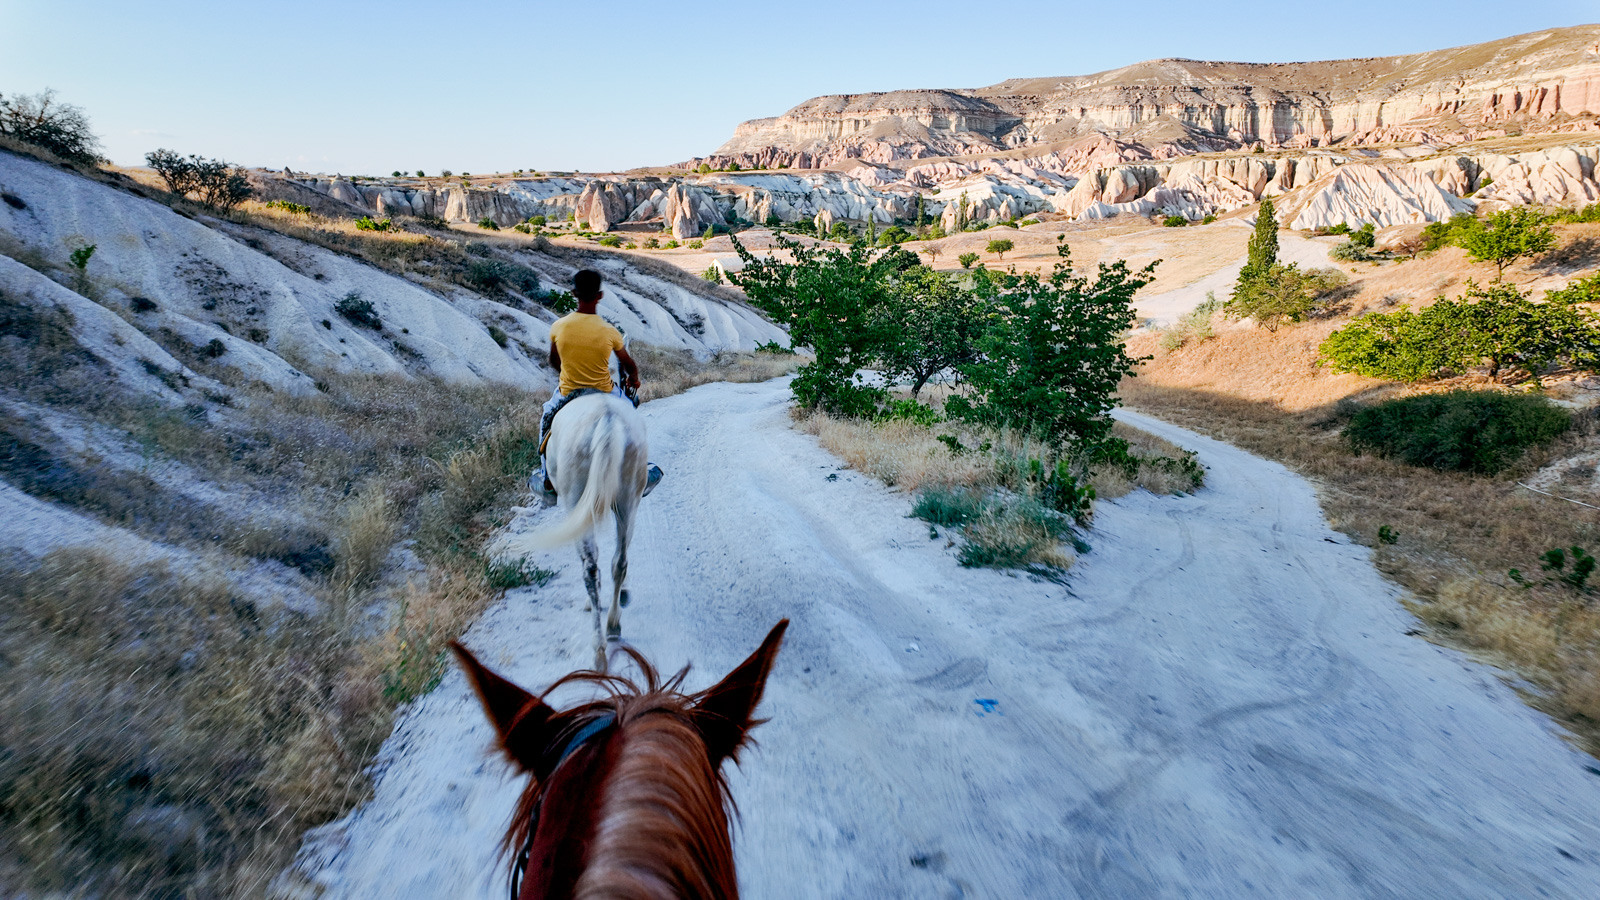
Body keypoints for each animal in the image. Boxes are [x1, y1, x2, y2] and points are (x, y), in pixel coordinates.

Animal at [502, 390, 646, 666]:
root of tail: (608, 419)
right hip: (628, 501)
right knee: (619, 561)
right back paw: (613, 624)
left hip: (576, 500)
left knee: (590, 567)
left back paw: (598, 645)